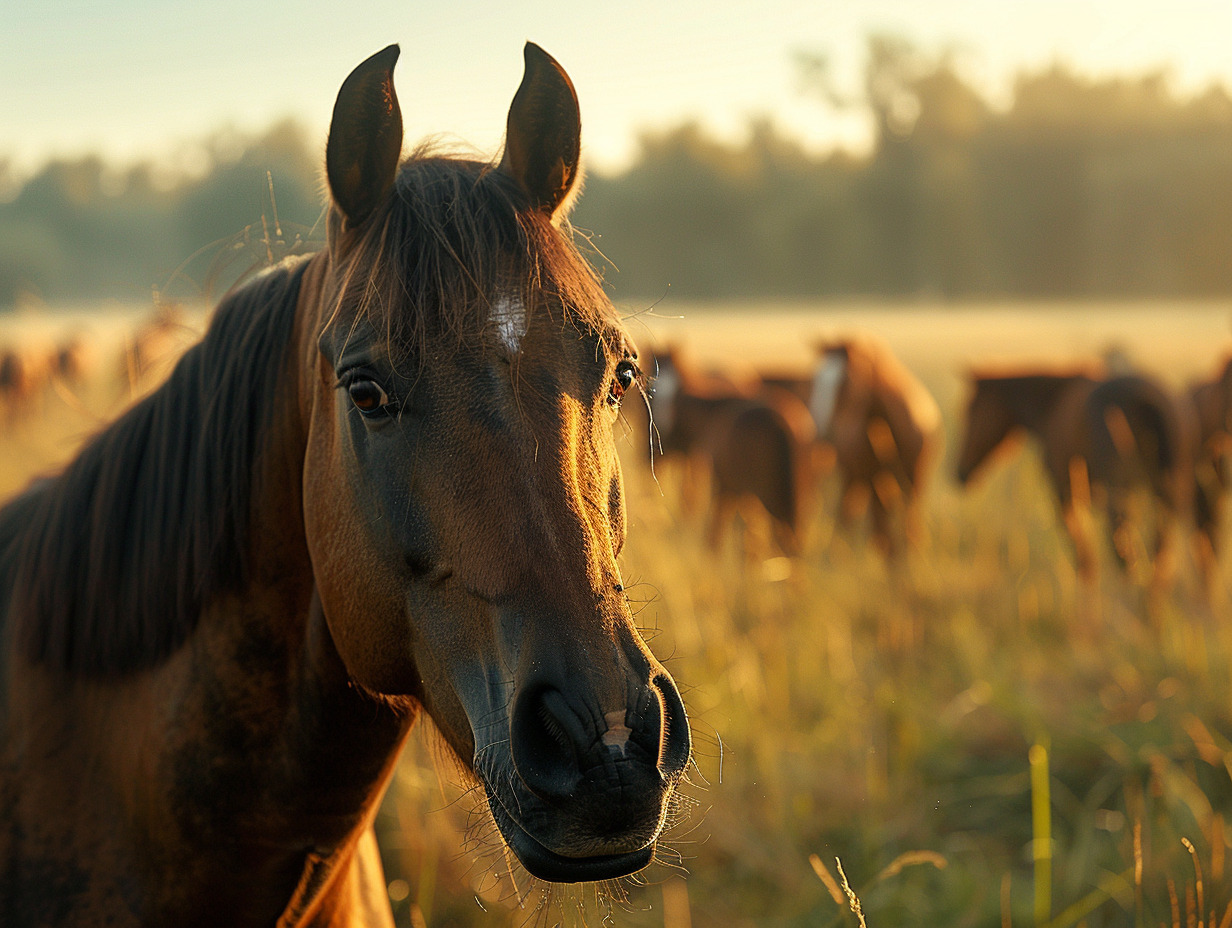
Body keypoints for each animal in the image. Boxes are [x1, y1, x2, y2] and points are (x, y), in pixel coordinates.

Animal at [808, 337, 941, 561]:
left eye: (845, 381)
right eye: (816, 380)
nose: (819, 430)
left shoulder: (914, 479)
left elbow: (909, 526)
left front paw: (912, 555)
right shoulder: (873, 479)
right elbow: (884, 532)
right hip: (859, 475)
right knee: (850, 510)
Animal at [951, 372, 1192, 581]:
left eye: (969, 411)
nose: (959, 472)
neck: (1052, 403)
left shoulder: (1065, 494)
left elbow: (1084, 559)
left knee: (1126, 555)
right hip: (1167, 497)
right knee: (1159, 560)